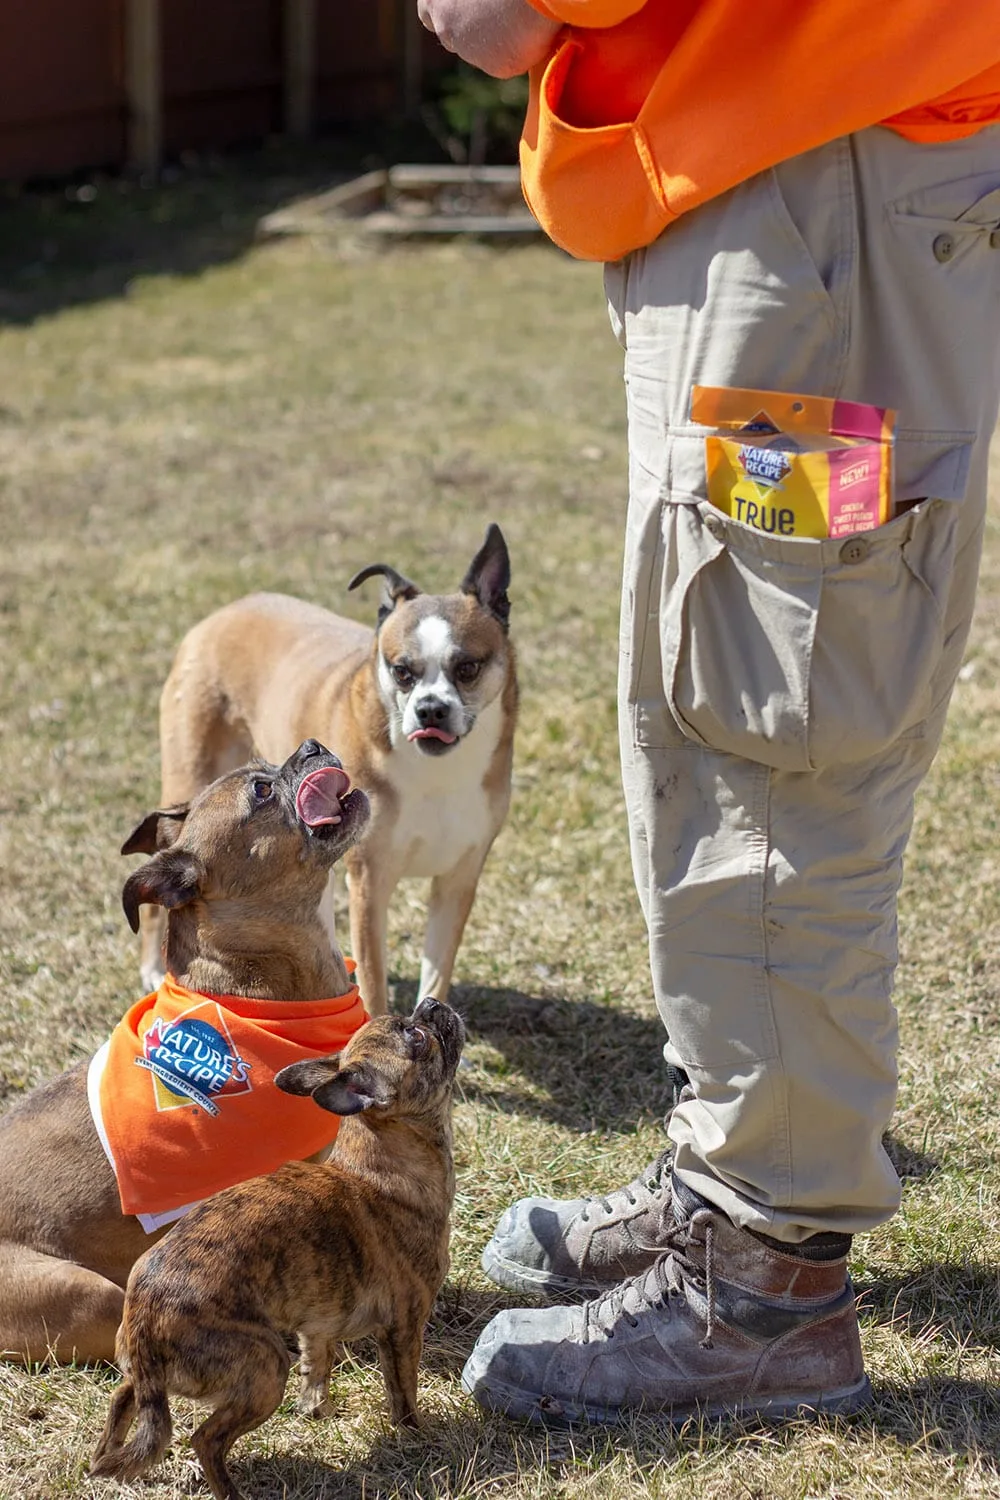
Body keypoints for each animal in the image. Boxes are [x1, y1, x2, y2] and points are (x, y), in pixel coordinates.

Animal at [89, 996, 464, 1500]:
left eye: (416, 1023)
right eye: (417, 1037)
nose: (431, 1003)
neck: (380, 1167)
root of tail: (148, 1313)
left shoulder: (318, 1323)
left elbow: (318, 1364)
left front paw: (317, 1409)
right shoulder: (404, 1328)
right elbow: (403, 1392)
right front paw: (416, 1434)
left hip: (148, 1376)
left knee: (123, 1401)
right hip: (265, 1367)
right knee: (205, 1439)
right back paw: (230, 1491)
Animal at [140, 522, 521, 1014]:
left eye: (468, 667)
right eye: (402, 671)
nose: (431, 710)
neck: (436, 773)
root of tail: (221, 615)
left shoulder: (458, 880)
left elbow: (435, 979)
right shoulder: (370, 884)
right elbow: (374, 985)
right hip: (188, 776)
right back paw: (152, 968)